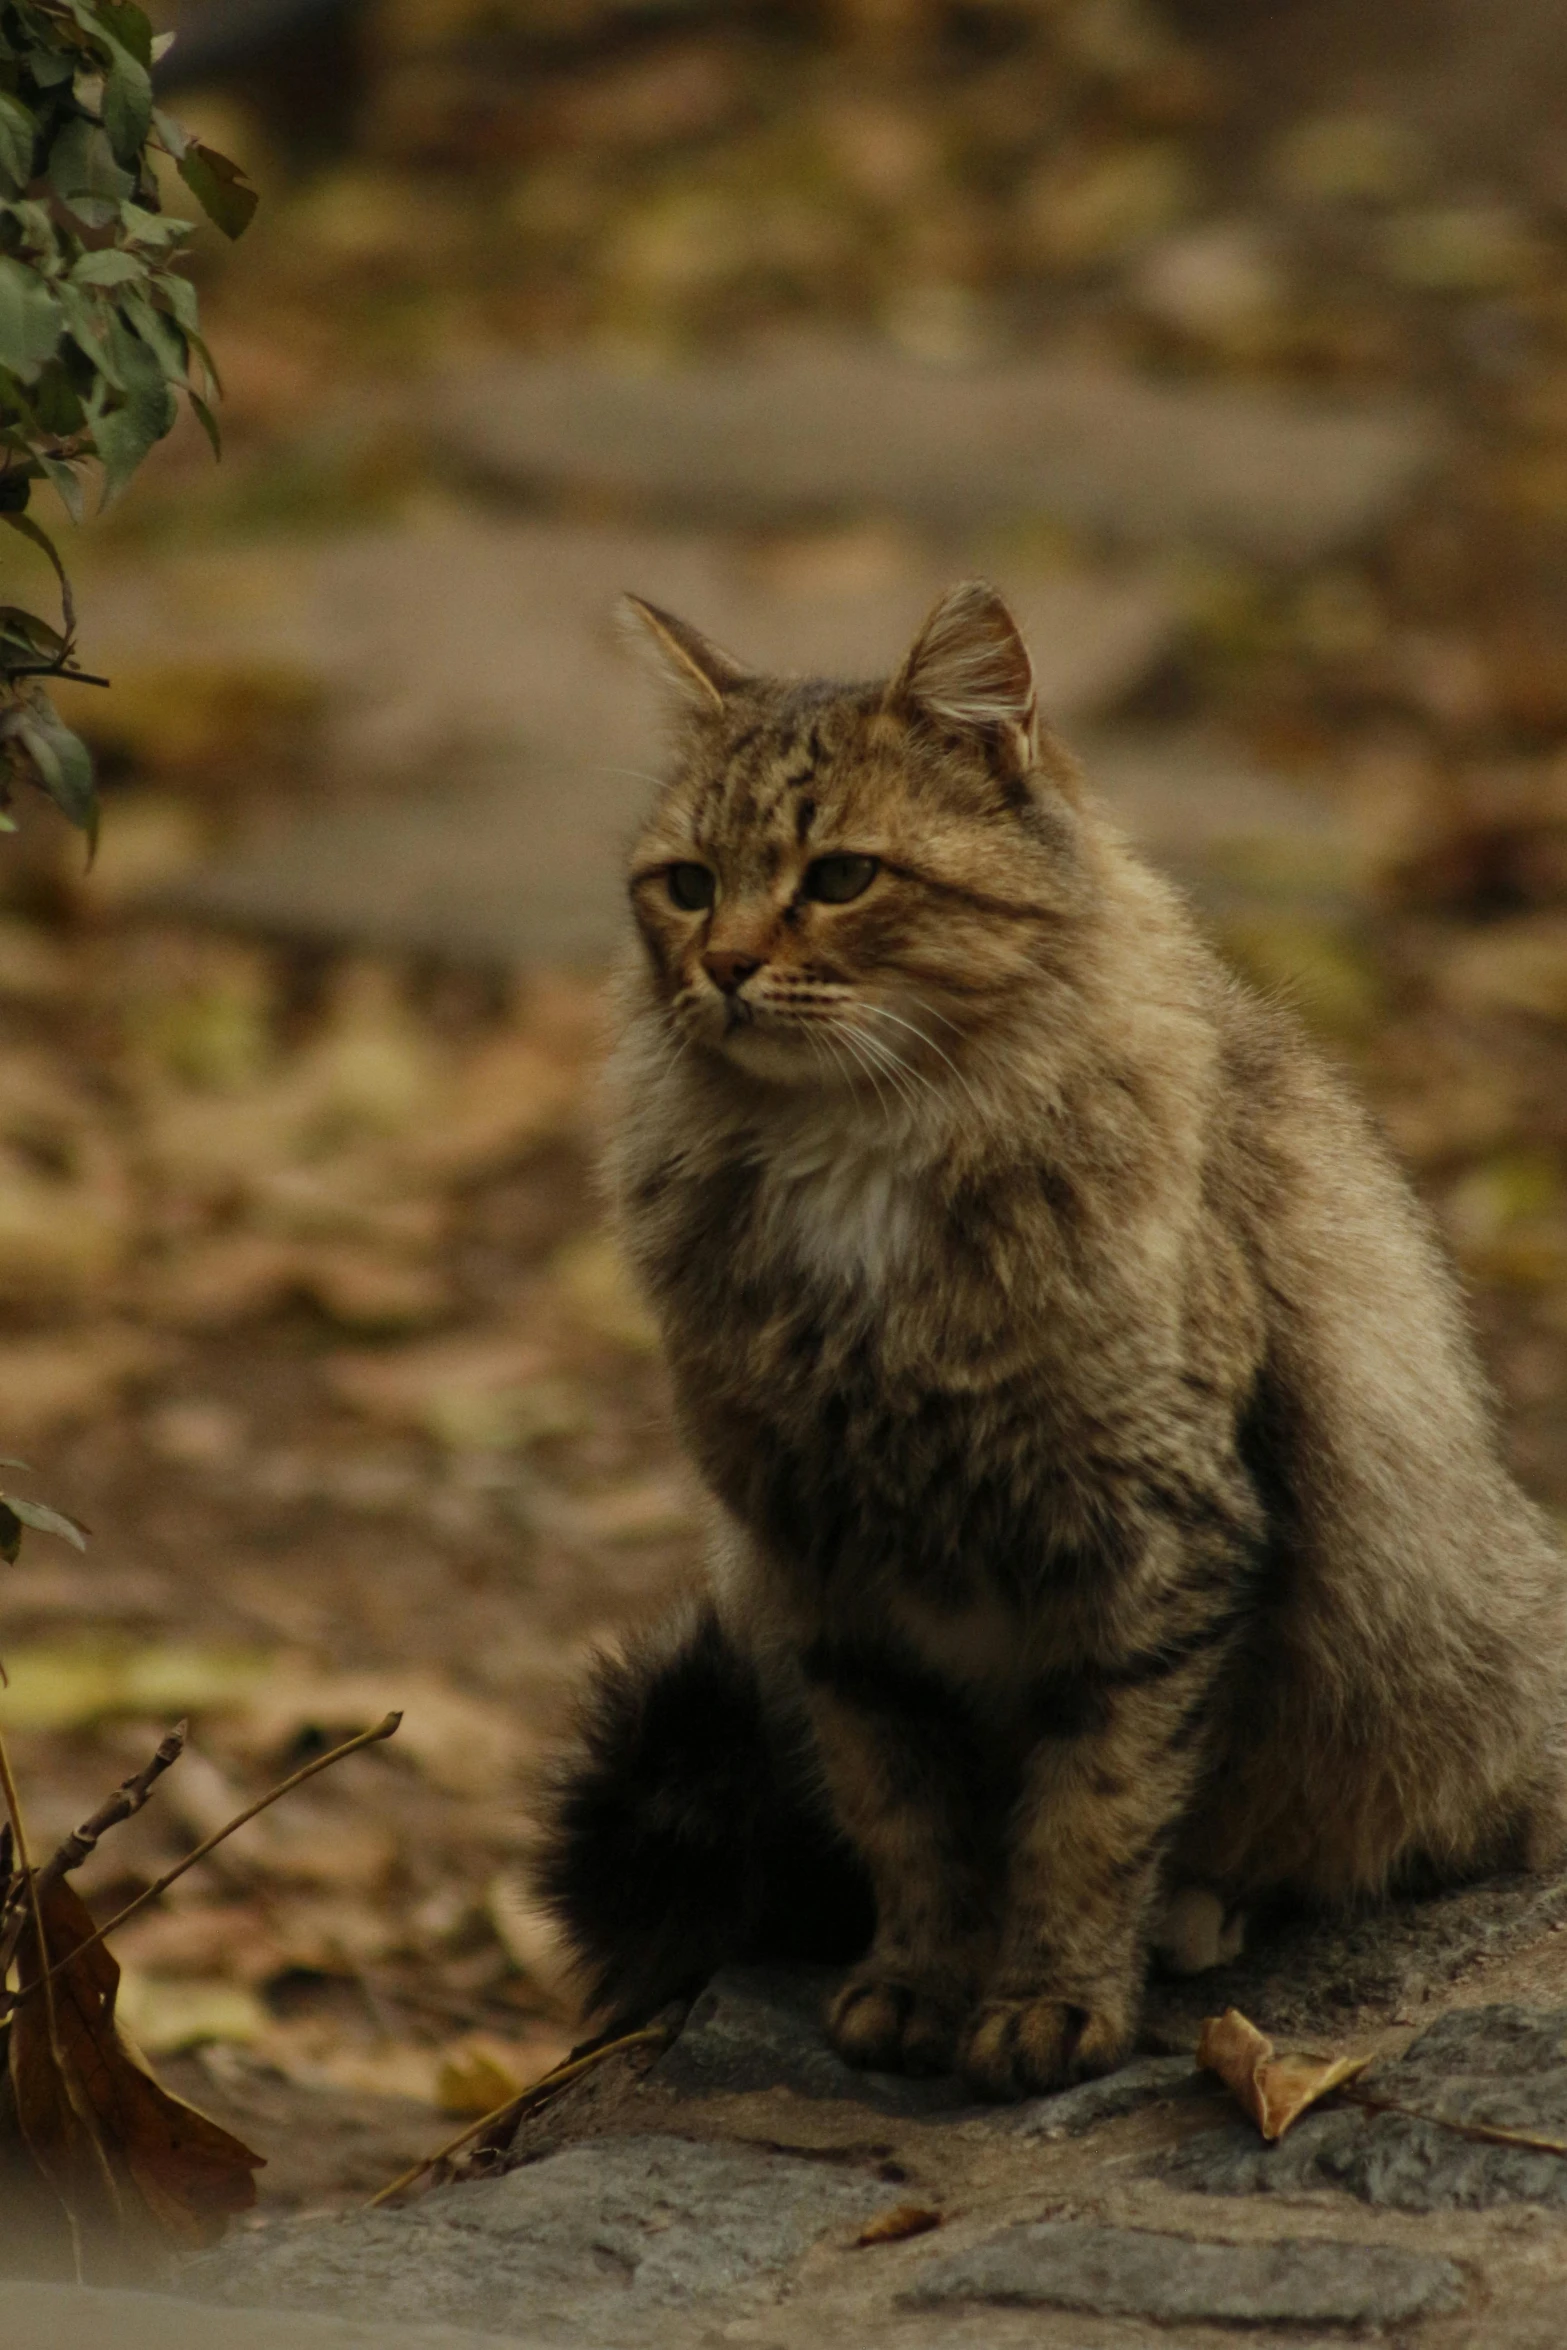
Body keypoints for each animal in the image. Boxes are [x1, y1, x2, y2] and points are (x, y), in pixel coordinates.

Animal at [530, 582, 1567, 2096]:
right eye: (686, 885)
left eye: (839, 878)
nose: (718, 969)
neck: (856, 1160)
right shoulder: (829, 1578)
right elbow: (909, 1819)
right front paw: (916, 1985)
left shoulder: (1154, 1545)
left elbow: (1091, 1809)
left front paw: (1050, 2003)